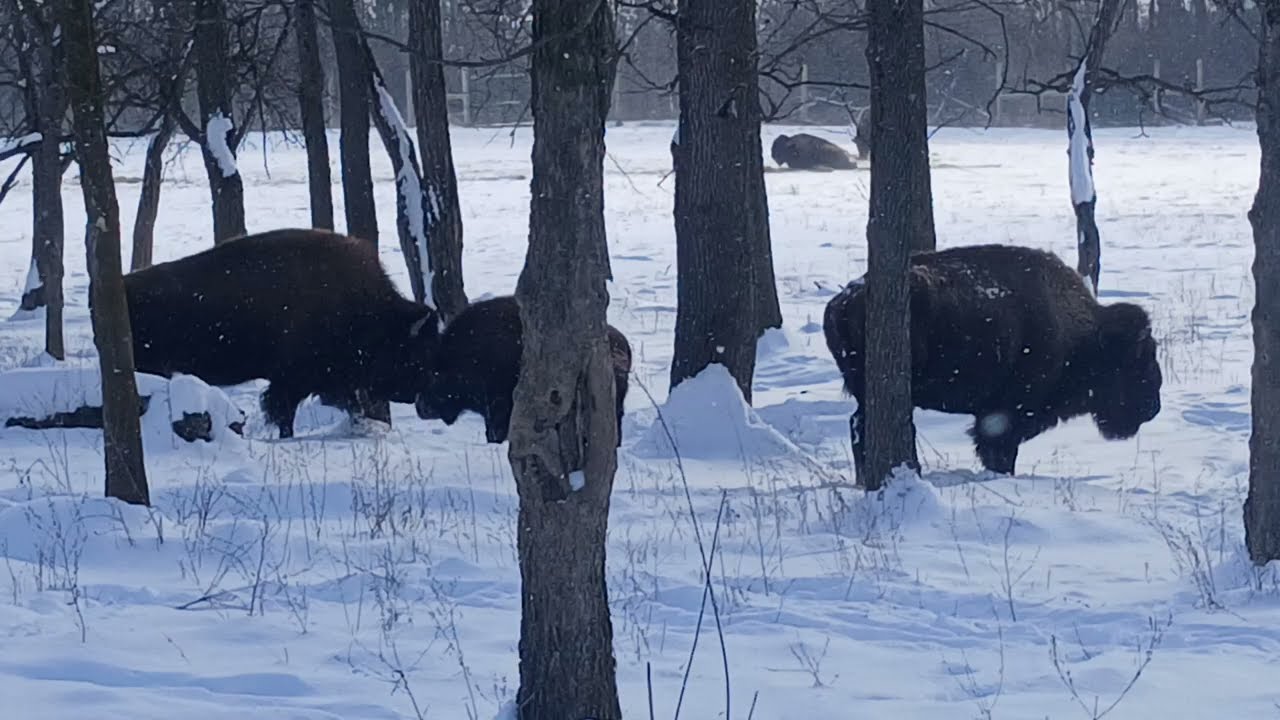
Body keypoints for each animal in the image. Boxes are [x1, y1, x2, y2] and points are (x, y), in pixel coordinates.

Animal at [124, 228, 441, 438]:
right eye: (415, 352)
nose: (425, 403)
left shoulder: (325, 380)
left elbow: (351, 405)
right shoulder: (293, 380)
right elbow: (284, 413)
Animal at [823, 244, 1162, 478]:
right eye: (1138, 360)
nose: (1153, 408)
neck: (1082, 332)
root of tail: (842, 301)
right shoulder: (1007, 414)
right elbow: (1000, 452)